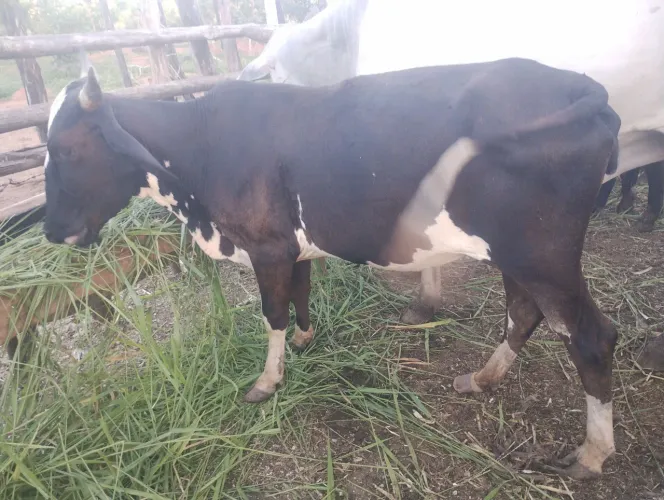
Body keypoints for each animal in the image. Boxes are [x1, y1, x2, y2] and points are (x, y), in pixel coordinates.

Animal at [43, 58, 623, 479]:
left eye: (67, 149)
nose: (49, 230)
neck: (200, 151)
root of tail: (582, 87)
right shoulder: (292, 247)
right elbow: (300, 295)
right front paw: (305, 339)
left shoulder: (267, 247)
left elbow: (272, 312)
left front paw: (267, 380)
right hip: (515, 254)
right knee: (523, 312)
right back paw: (481, 378)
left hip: (543, 255)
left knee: (592, 336)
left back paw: (591, 454)